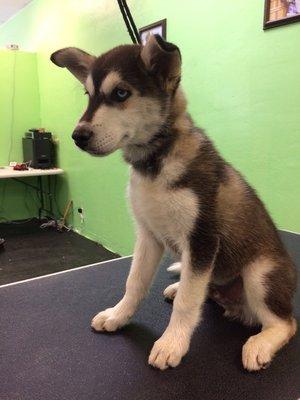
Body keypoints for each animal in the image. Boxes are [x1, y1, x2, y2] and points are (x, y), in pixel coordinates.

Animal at [50, 36, 296, 370]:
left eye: (121, 93)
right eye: (89, 95)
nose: (78, 136)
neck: (155, 162)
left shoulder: (202, 239)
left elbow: (187, 303)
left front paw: (172, 343)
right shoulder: (148, 235)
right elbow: (135, 283)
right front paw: (118, 316)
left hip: (260, 275)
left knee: (284, 322)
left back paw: (261, 343)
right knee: (200, 287)